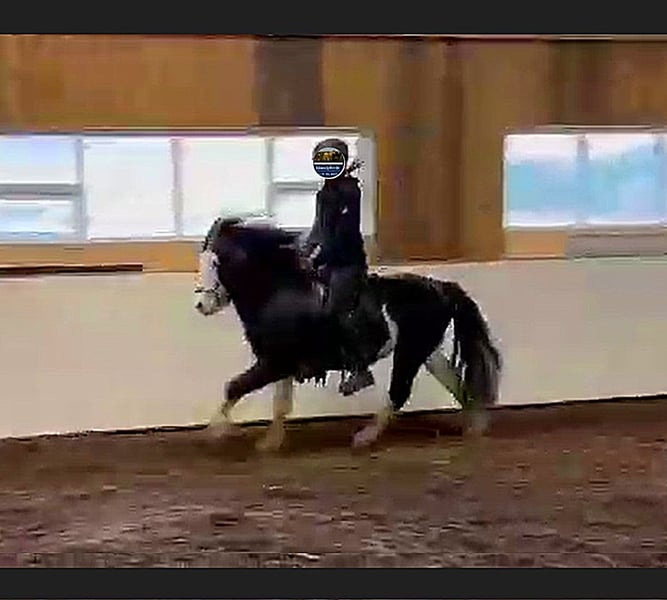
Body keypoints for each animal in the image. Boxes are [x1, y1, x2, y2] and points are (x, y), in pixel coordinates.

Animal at [193, 216, 502, 451]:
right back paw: (475, 426)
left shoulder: (274, 363)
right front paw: (271, 442)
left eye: (214, 262)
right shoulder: (282, 364)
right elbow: (280, 403)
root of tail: (440, 287)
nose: (202, 305)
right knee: (454, 381)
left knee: (399, 392)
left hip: (410, 350)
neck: (279, 293)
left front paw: (214, 431)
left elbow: (234, 386)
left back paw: (364, 438)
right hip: (427, 351)